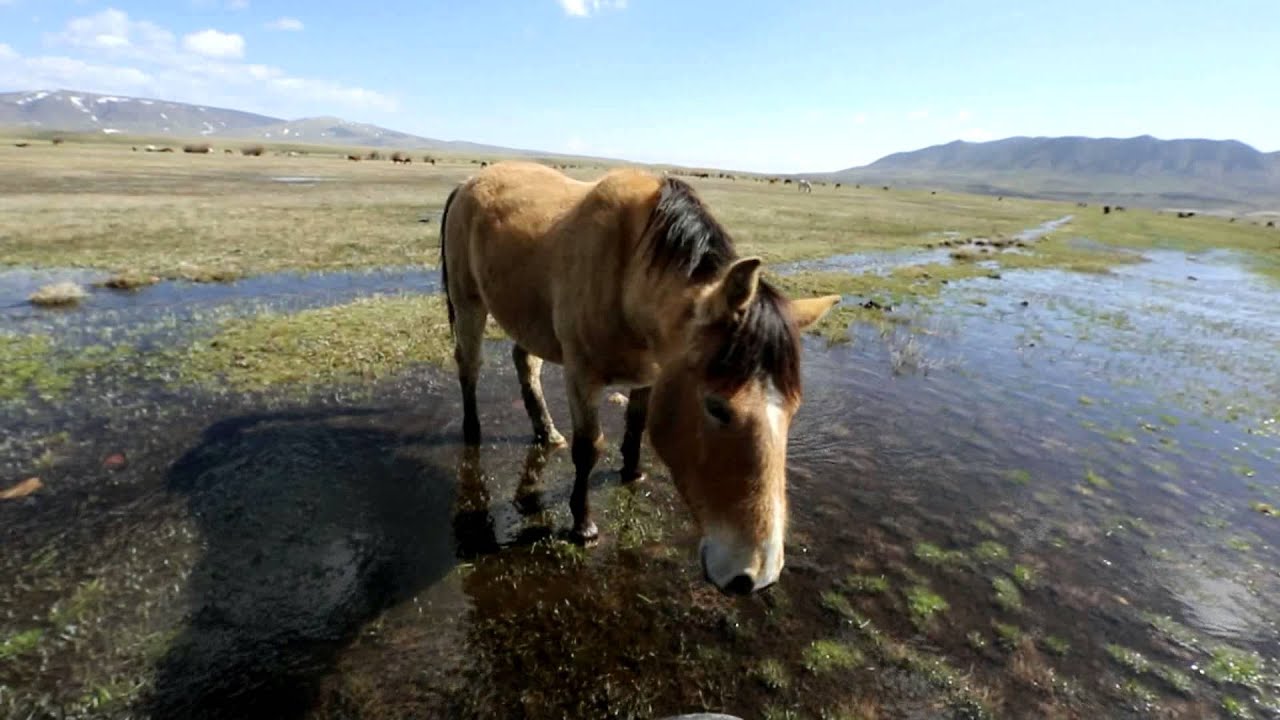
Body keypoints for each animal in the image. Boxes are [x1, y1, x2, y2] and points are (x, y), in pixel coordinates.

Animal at [439, 162, 839, 595]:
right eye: (717, 407)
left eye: (793, 410)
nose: (754, 575)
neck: (627, 273)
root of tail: (467, 183)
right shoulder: (581, 376)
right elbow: (589, 448)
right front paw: (583, 525)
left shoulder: (651, 375)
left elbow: (636, 426)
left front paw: (632, 473)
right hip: (469, 303)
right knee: (469, 365)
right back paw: (473, 429)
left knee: (525, 363)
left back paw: (547, 432)